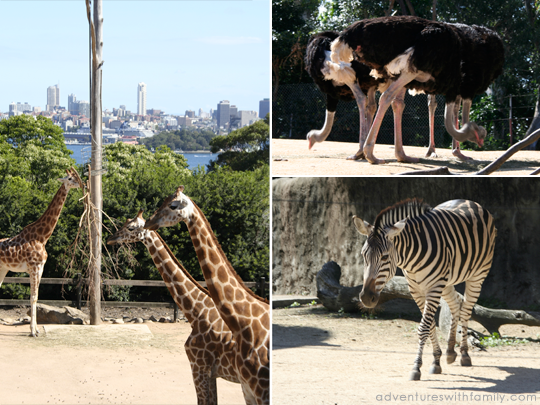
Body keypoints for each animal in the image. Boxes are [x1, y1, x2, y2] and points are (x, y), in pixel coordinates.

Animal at [0, 166, 82, 336]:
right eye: (70, 178)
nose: (81, 183)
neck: (42, 237)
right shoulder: (34, 267)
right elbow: (33, 297)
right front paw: (32, 331)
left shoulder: (41, 268)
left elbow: (37, 297)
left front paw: (36, 329)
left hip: (3, 268)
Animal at [354, 198, 498, 378]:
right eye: (363, 255)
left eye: (385, 257)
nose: (366, 298)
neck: (412, 259)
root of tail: (469, 201)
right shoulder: (416, 290)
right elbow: (429, 325)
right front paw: (436, 360)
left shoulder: (434, 288)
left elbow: (423, 327)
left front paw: (416, 367)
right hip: (447, 281)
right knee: (456, 303)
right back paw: (450, 351)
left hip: (477, 275)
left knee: (466, 310)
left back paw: (464, 354)